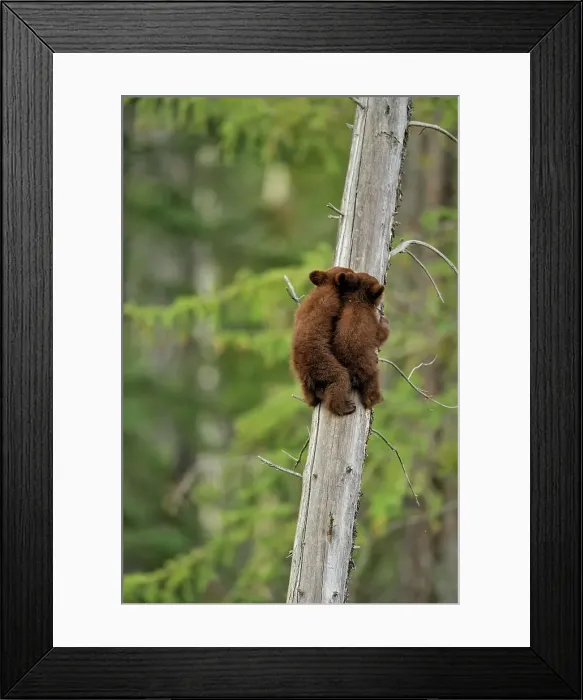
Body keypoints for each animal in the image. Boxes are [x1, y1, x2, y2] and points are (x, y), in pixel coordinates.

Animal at [290, 266, 356, 416]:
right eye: (351, 272)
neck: (327, 285)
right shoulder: (331, 303)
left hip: (303, 377)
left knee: (309, 394)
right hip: (321, 362)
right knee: (340, 378)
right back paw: (344, 407)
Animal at [331, 270, 390, 410]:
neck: (358, 300)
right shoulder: (370, 321)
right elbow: (380, 335)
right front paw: (385, 321)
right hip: (367, 365)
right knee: (372, 380)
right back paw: (374, 399)